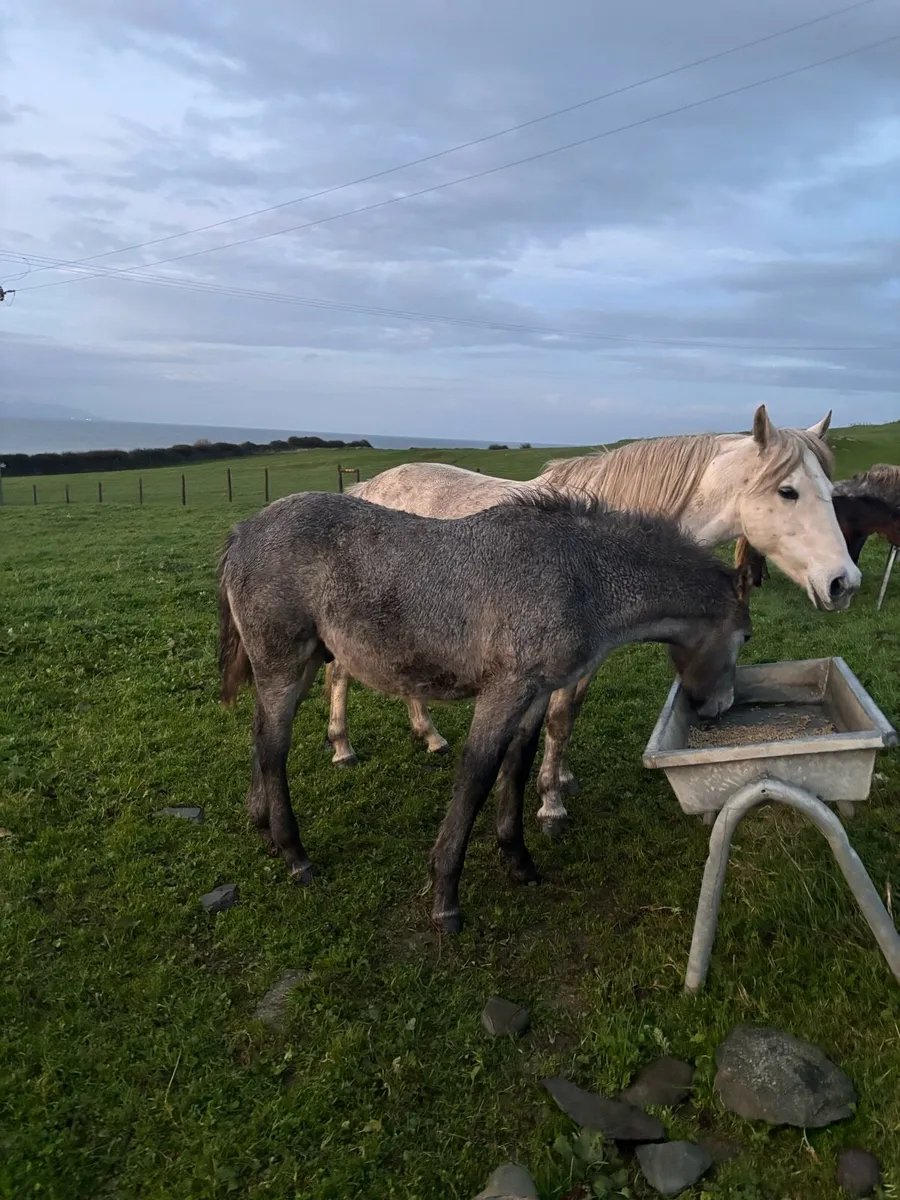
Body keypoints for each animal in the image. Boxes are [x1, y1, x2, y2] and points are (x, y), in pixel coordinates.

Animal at [218, 489, 753, 933]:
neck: (579, 576)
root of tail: (242, 532)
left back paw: (264, 827)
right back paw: (295, 853)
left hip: (305, 663)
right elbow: (477, 776)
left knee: (260, 735)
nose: (718, 707)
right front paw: (445, 896)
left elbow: (515, 768)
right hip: (284, 664)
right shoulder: (504, 690)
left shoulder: (535, 694)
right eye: (746, 636)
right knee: (273, 747)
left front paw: (518, 860)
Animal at [323, 404, 859, 836]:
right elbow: (558, 719)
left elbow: (568, 718)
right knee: (339, 674)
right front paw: (551, 807)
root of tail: (370, 486)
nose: (844, 582)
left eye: (830, 490)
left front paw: (560, 780)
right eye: (788, 491)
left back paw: (429, 734)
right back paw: (342, 746)